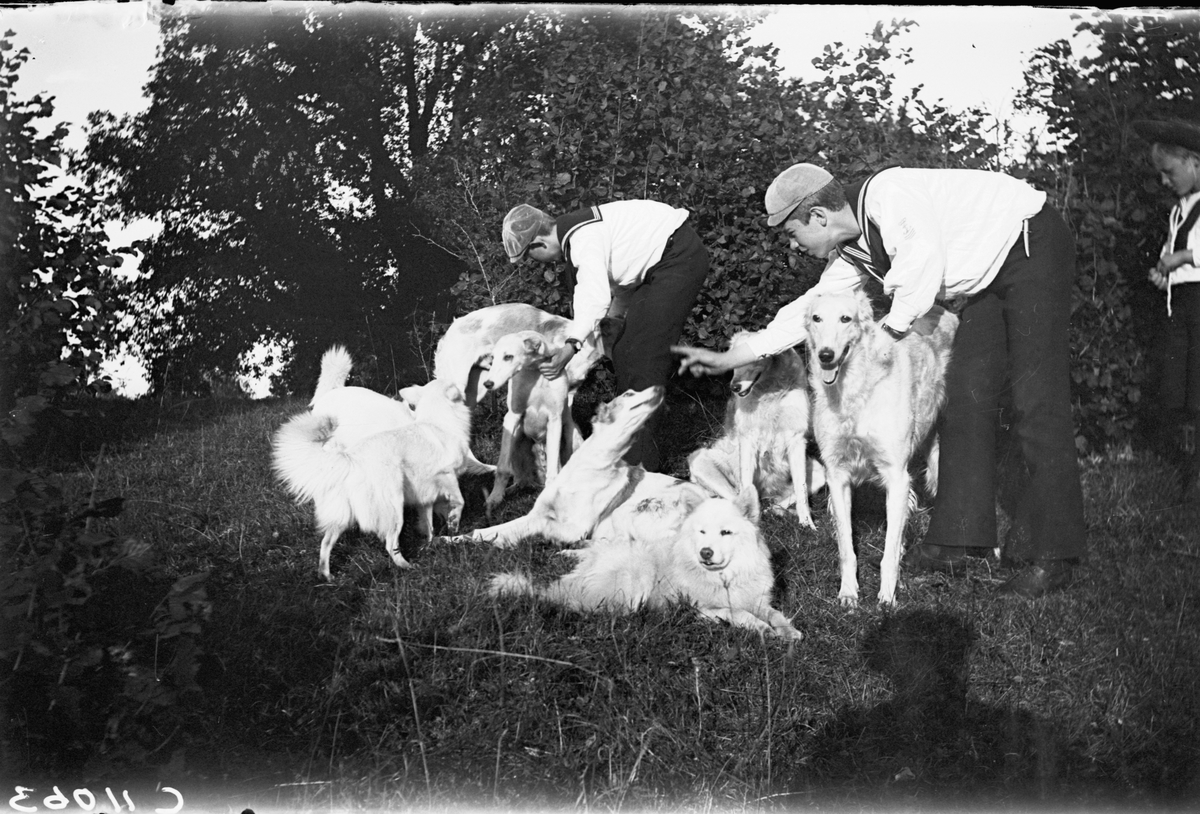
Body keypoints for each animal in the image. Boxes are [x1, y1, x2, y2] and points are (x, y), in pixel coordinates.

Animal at [273, 381, 492, 581]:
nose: (472, 386)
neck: (437, 421)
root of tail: (350, 460)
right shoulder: (446, 475)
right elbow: (460, 501)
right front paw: (453, 524)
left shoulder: (425, 497)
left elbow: (428, 524)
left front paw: (432, 543)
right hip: (394, 508)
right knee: (390, 543)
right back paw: (407, 566)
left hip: (341, 518)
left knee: (325, 544)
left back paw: (326, 575)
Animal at [458, 386, 667, 552]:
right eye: (629, 393)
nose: (660, 388)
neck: (591, 466)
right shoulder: (535, 512)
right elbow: (480, 531)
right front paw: (453, 539)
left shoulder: (576, 527)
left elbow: (540, 524)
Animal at [487, 485, 806, 643]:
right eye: (702, 532)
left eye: (725, 532)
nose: (705, 552)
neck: (724, 578)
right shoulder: (704, 608)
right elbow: (741, 615)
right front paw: (763, 630)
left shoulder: (757, 600)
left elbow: (775, 614)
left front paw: (788, 631)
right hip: (636, 576)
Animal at [691, 336, 830, 533]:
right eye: (734, 361)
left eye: (752, 359)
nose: (734, 387)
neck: (769, 391)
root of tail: (766, 492)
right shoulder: (748, 440)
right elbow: (746, 484)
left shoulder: (796, 440)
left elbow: (801, 489)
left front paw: (806, 522)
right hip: (700, 462)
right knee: (735, 498)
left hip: (818, 471)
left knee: (777, 502)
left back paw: (778, 512)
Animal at [806, 291, 955, 605]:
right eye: (816, 318)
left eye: (845, 318)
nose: (825, 355)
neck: (854, 392)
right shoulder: (837, 474)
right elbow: (846, 549)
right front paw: (848, 593)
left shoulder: (896, 476)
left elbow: (888, 553)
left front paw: (887, 598)